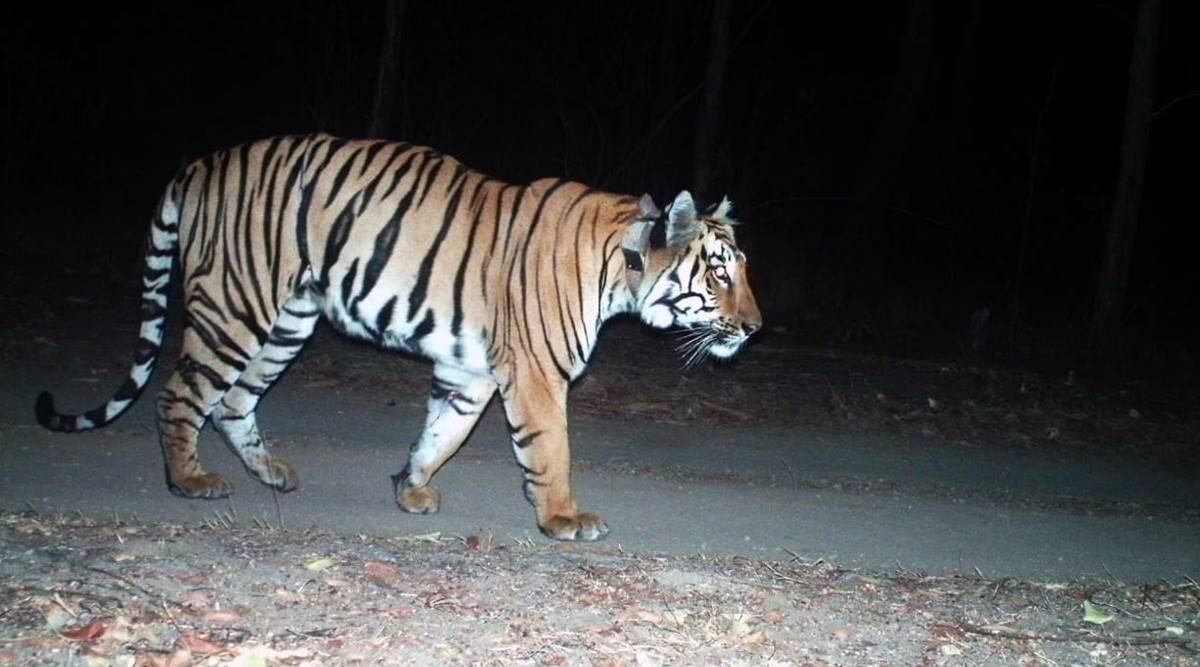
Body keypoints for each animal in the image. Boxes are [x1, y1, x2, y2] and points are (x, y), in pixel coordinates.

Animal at [35, 133, 762, 541]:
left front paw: (409, 488)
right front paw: (563, 518)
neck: (621, 268)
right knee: (181, 395)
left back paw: (271, 473)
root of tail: (201, 165)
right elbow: (550, 448)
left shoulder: (472, 373)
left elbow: (443, 432)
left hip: (288, 321)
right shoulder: (535, 374)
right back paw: (189, 479)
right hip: (234, 306)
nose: (755, 328)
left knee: (234, 401)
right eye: (720, 272)